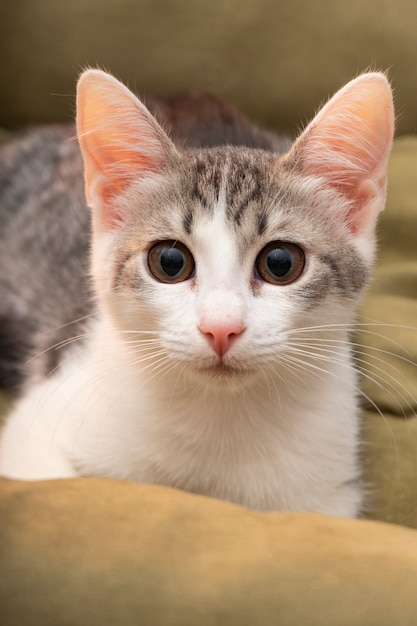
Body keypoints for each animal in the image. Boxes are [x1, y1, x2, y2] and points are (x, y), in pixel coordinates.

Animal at [0, 70, 394, 516]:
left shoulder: (329, 491)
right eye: (169, 261)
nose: (221, 328)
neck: (219, 415)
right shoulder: (36, 426)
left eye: (280, 263)